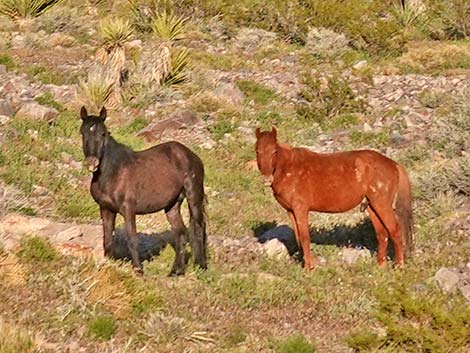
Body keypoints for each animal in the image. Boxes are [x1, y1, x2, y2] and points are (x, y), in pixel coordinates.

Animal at [80, 107, 207, 276]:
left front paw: (138, 270)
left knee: (199, 227)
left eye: (103, 133)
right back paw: (176, 271)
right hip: (172, 205)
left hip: (194, 195)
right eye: (83, 133)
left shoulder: (128, 209)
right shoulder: (106, 209)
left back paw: (201, 267)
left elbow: (132, 239)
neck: (113, 172)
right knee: (181, 233)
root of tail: (191, 155)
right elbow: (107, 239)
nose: (91, 163)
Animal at [255, 127, 414, 270]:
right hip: (372, 206)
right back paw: (381, 266)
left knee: (395, 231)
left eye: (275, 151)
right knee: (382, 234)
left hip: (382, 204)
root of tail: (394, 164)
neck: (288, 168)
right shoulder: (291, 211)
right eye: (257, 151)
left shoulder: (300, 209)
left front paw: (309, 268)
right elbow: (299, 238)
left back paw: (399, 266)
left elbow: (305, 238)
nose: (267, 179)